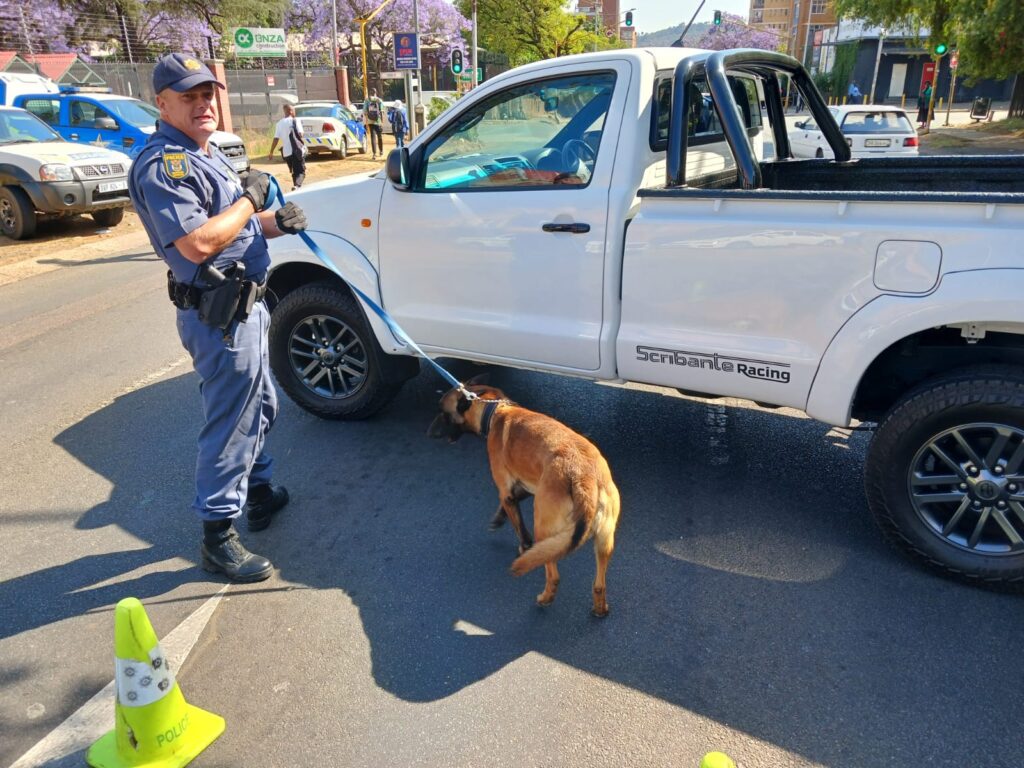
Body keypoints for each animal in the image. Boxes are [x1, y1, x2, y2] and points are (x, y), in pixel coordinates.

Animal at [428, 382, 618, 618]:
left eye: (442, 412)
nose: (428, 432)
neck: (495, 409)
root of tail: (585, 478)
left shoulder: (506, 491)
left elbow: (518, 523)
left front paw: (523, 545)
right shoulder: (528, 486)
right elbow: (514, 503)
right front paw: (498, 518)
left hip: (544, 530)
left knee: (553, 576)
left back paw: (545, 598)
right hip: (604, 540)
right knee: (599, 584)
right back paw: (600, 609)